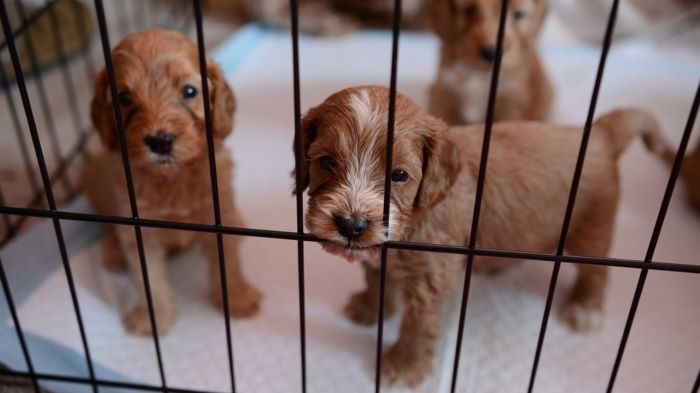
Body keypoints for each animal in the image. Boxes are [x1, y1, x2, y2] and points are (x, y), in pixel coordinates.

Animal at [82, 29, 262, 336]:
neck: (172, 177)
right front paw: (152, 320)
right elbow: (149, 281)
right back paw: (113, 252)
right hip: (95, 179)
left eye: (189, 91)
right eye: (123, 98)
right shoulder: (139, 230)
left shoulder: (219, 213)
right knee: (106, 224)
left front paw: (238, 297)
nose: (160, 141)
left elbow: (229, 262)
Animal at [298, 86, 668, 386]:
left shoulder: (430, 278)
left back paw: (585, 308)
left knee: (596, 271)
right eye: (326, 162)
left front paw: (404, 367)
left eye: (399, 175)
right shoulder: (378, 254)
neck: (418, 216)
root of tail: (601, 132)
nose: (352, 226)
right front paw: (369, 308)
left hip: (592, 230)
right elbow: (376, 279)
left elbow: (418, 326)